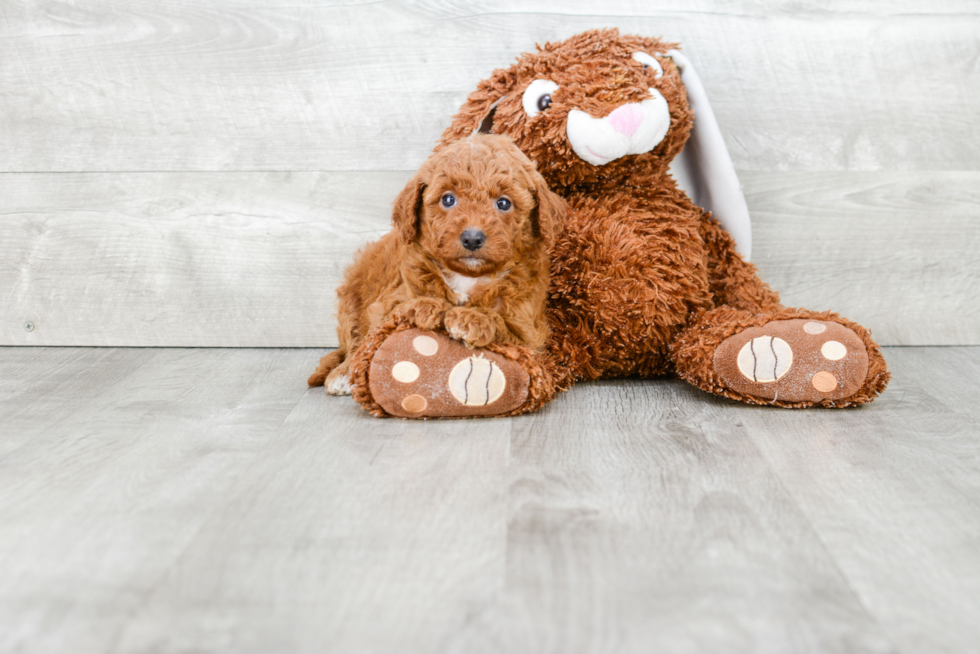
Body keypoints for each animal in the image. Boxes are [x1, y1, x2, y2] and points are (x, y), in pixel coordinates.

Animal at [306, 135, 568, 394]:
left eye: (503, 203)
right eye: (448, 199)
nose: (472, 238)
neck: (467, 277)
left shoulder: (529, 335)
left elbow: (504, 326)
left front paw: (473, 319)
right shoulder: (384, 305)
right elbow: (392, 314)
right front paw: (426, 305)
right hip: (352, 296)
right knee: (355, 341)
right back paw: (342, 372)